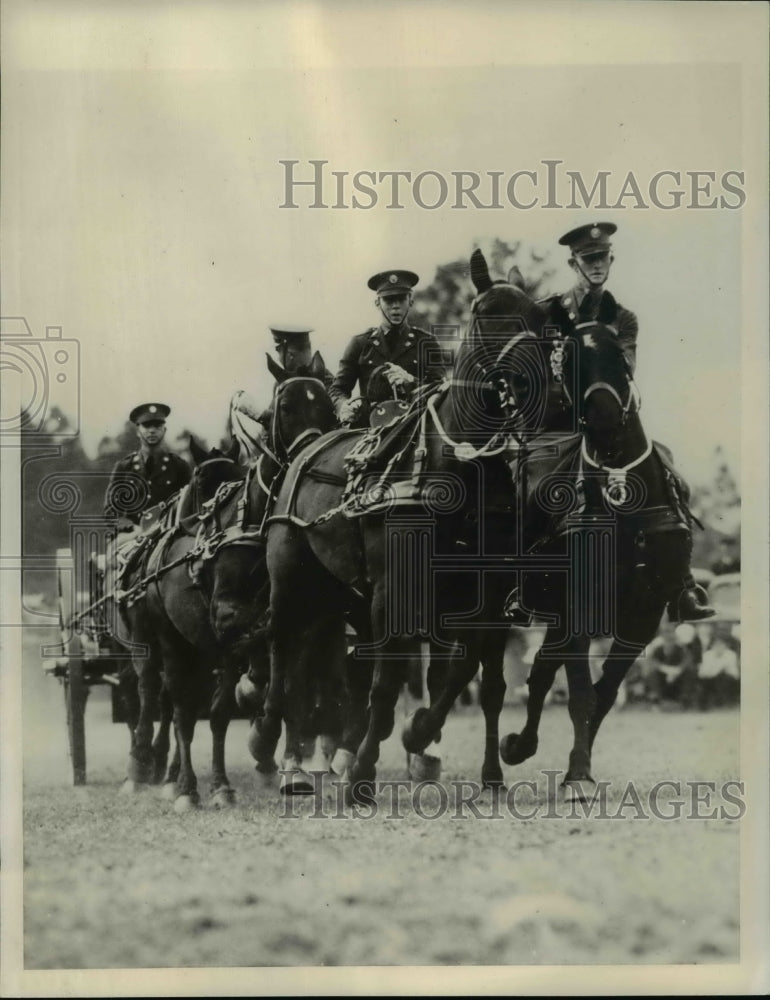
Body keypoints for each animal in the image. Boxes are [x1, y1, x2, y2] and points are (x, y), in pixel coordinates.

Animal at [254, 248, 544, 796]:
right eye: (487, 313)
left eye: (536, 313)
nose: (534, 381)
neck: (459, 466)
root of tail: (308, 448)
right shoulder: (395, 591)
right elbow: (388, 685)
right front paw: (365, 771)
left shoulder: (486, 594)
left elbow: (478, 681)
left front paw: (470, 761)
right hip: (290, 582)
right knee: (283, 654)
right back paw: (275, 749)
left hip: (339, 597)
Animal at [496, 318, 704, 796]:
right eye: (571, 361)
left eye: (622, 359)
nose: (607, 418)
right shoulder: (577, 610)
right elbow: (582, 695)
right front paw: (577, 775)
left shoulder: (642, 618)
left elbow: (604, 693)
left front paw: (580, 767)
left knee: (541, 672)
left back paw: (520, 745)